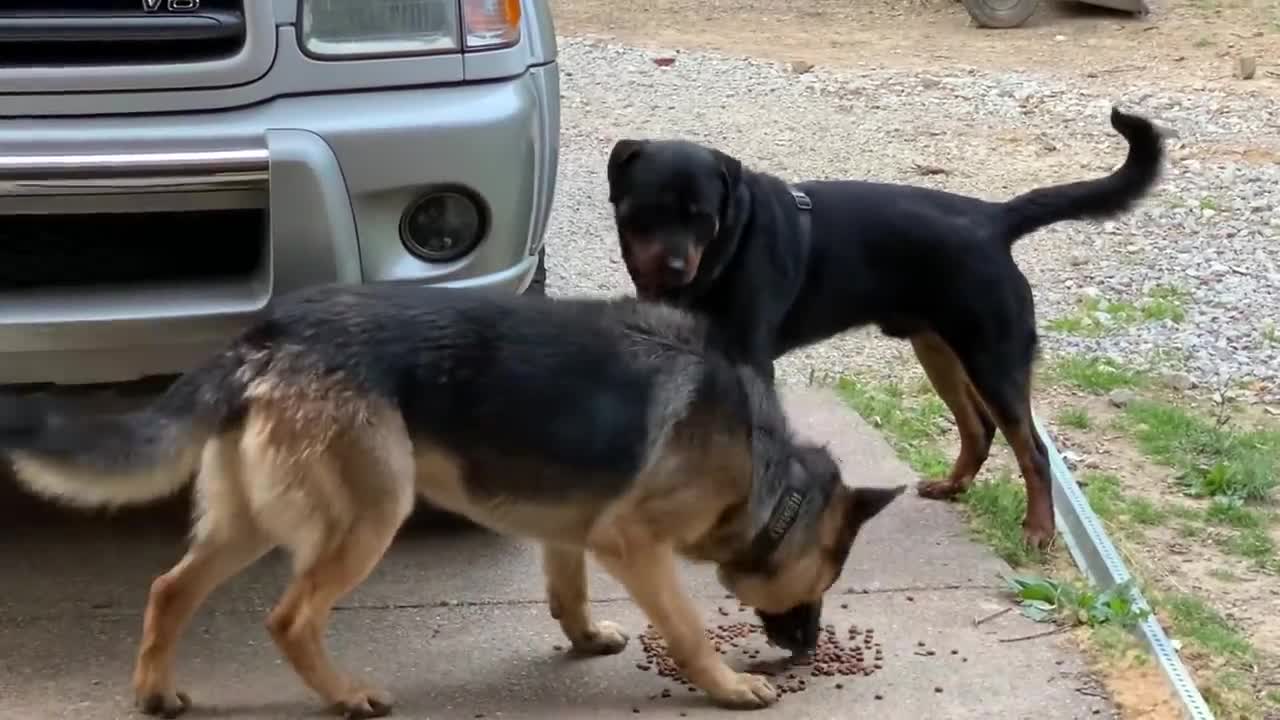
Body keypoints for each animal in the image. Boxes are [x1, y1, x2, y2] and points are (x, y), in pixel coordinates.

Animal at [0, 285, 906, 717]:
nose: (807, 649)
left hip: (251, 521)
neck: (765, 469)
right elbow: (683, 627)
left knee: (169, 589)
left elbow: (567, 589)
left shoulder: (574, 527)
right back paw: (345, 697)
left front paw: (584, 639)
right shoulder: (634, 541)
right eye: (824, 586)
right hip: (369, 515)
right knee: (289, 618)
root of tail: (266, 333)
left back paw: (154, 693)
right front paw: (726, 686)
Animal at [604, 106, 1167, 545]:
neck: (729, 244)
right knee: (978, 428)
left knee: (1033, 450)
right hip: (939, 350)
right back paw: (953, 486)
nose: (676, 265)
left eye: (702, 215)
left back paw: (1039, 529)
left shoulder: (751, 360)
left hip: (994, 357)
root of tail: (993, 220)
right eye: (648, 211)